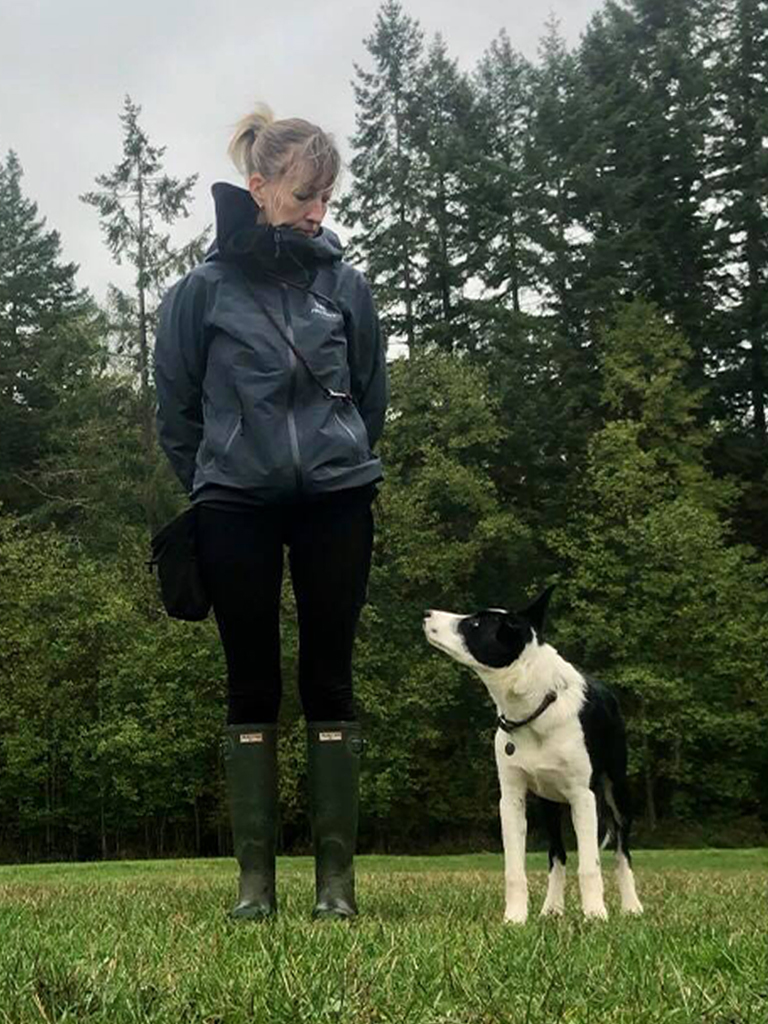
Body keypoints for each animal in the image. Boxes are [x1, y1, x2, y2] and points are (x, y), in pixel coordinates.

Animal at [423, 589, 647, 925]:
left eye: (474, 623)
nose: (426, 614)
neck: (536, 708)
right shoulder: (512, 798)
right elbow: (516, 868)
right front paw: (515, 918)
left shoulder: (583, 796)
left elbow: (590, 865)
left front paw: (595, 915)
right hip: (549, 802)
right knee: (558, 853)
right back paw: (551, 909)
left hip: (616, 790)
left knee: (623, 850)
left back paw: (632, 906)